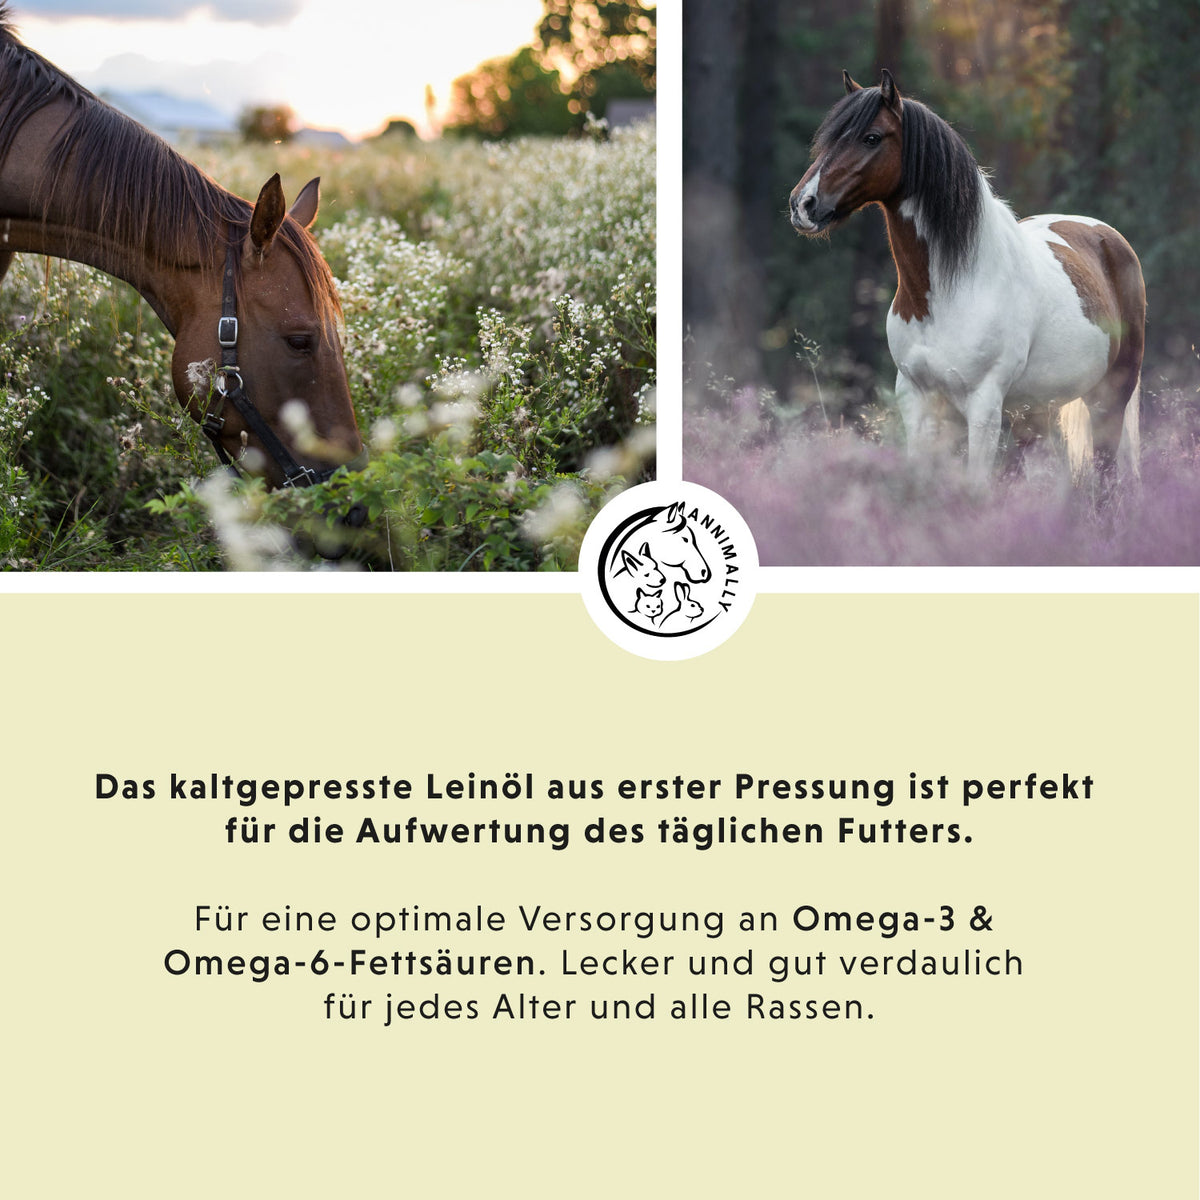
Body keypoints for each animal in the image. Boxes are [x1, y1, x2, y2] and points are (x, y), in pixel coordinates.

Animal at [790, 70, 1146, 486]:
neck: (952, 290)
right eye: (830, 137)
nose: (803, 204)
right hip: (1035, 411)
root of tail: (1108, 237)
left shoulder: (984, 406)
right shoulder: (918, 402)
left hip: (1109, 397)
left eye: (871, 137)